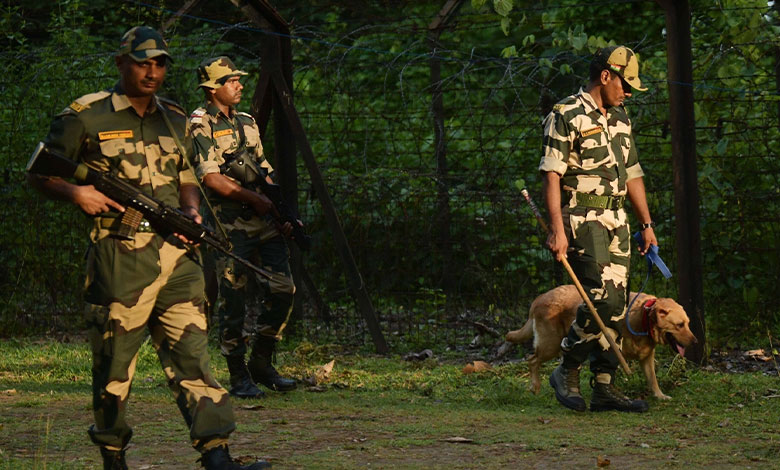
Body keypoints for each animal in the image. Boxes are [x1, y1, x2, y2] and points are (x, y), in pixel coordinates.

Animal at [508, 284, 696, 398]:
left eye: (688, 323)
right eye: (679, 325)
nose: (695, 342)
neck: (643, 318)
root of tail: (538, 299)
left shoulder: (646, 357)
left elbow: (653, 379)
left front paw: (659, 396)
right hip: (550, 345)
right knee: (532, 360)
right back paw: (535, 387)